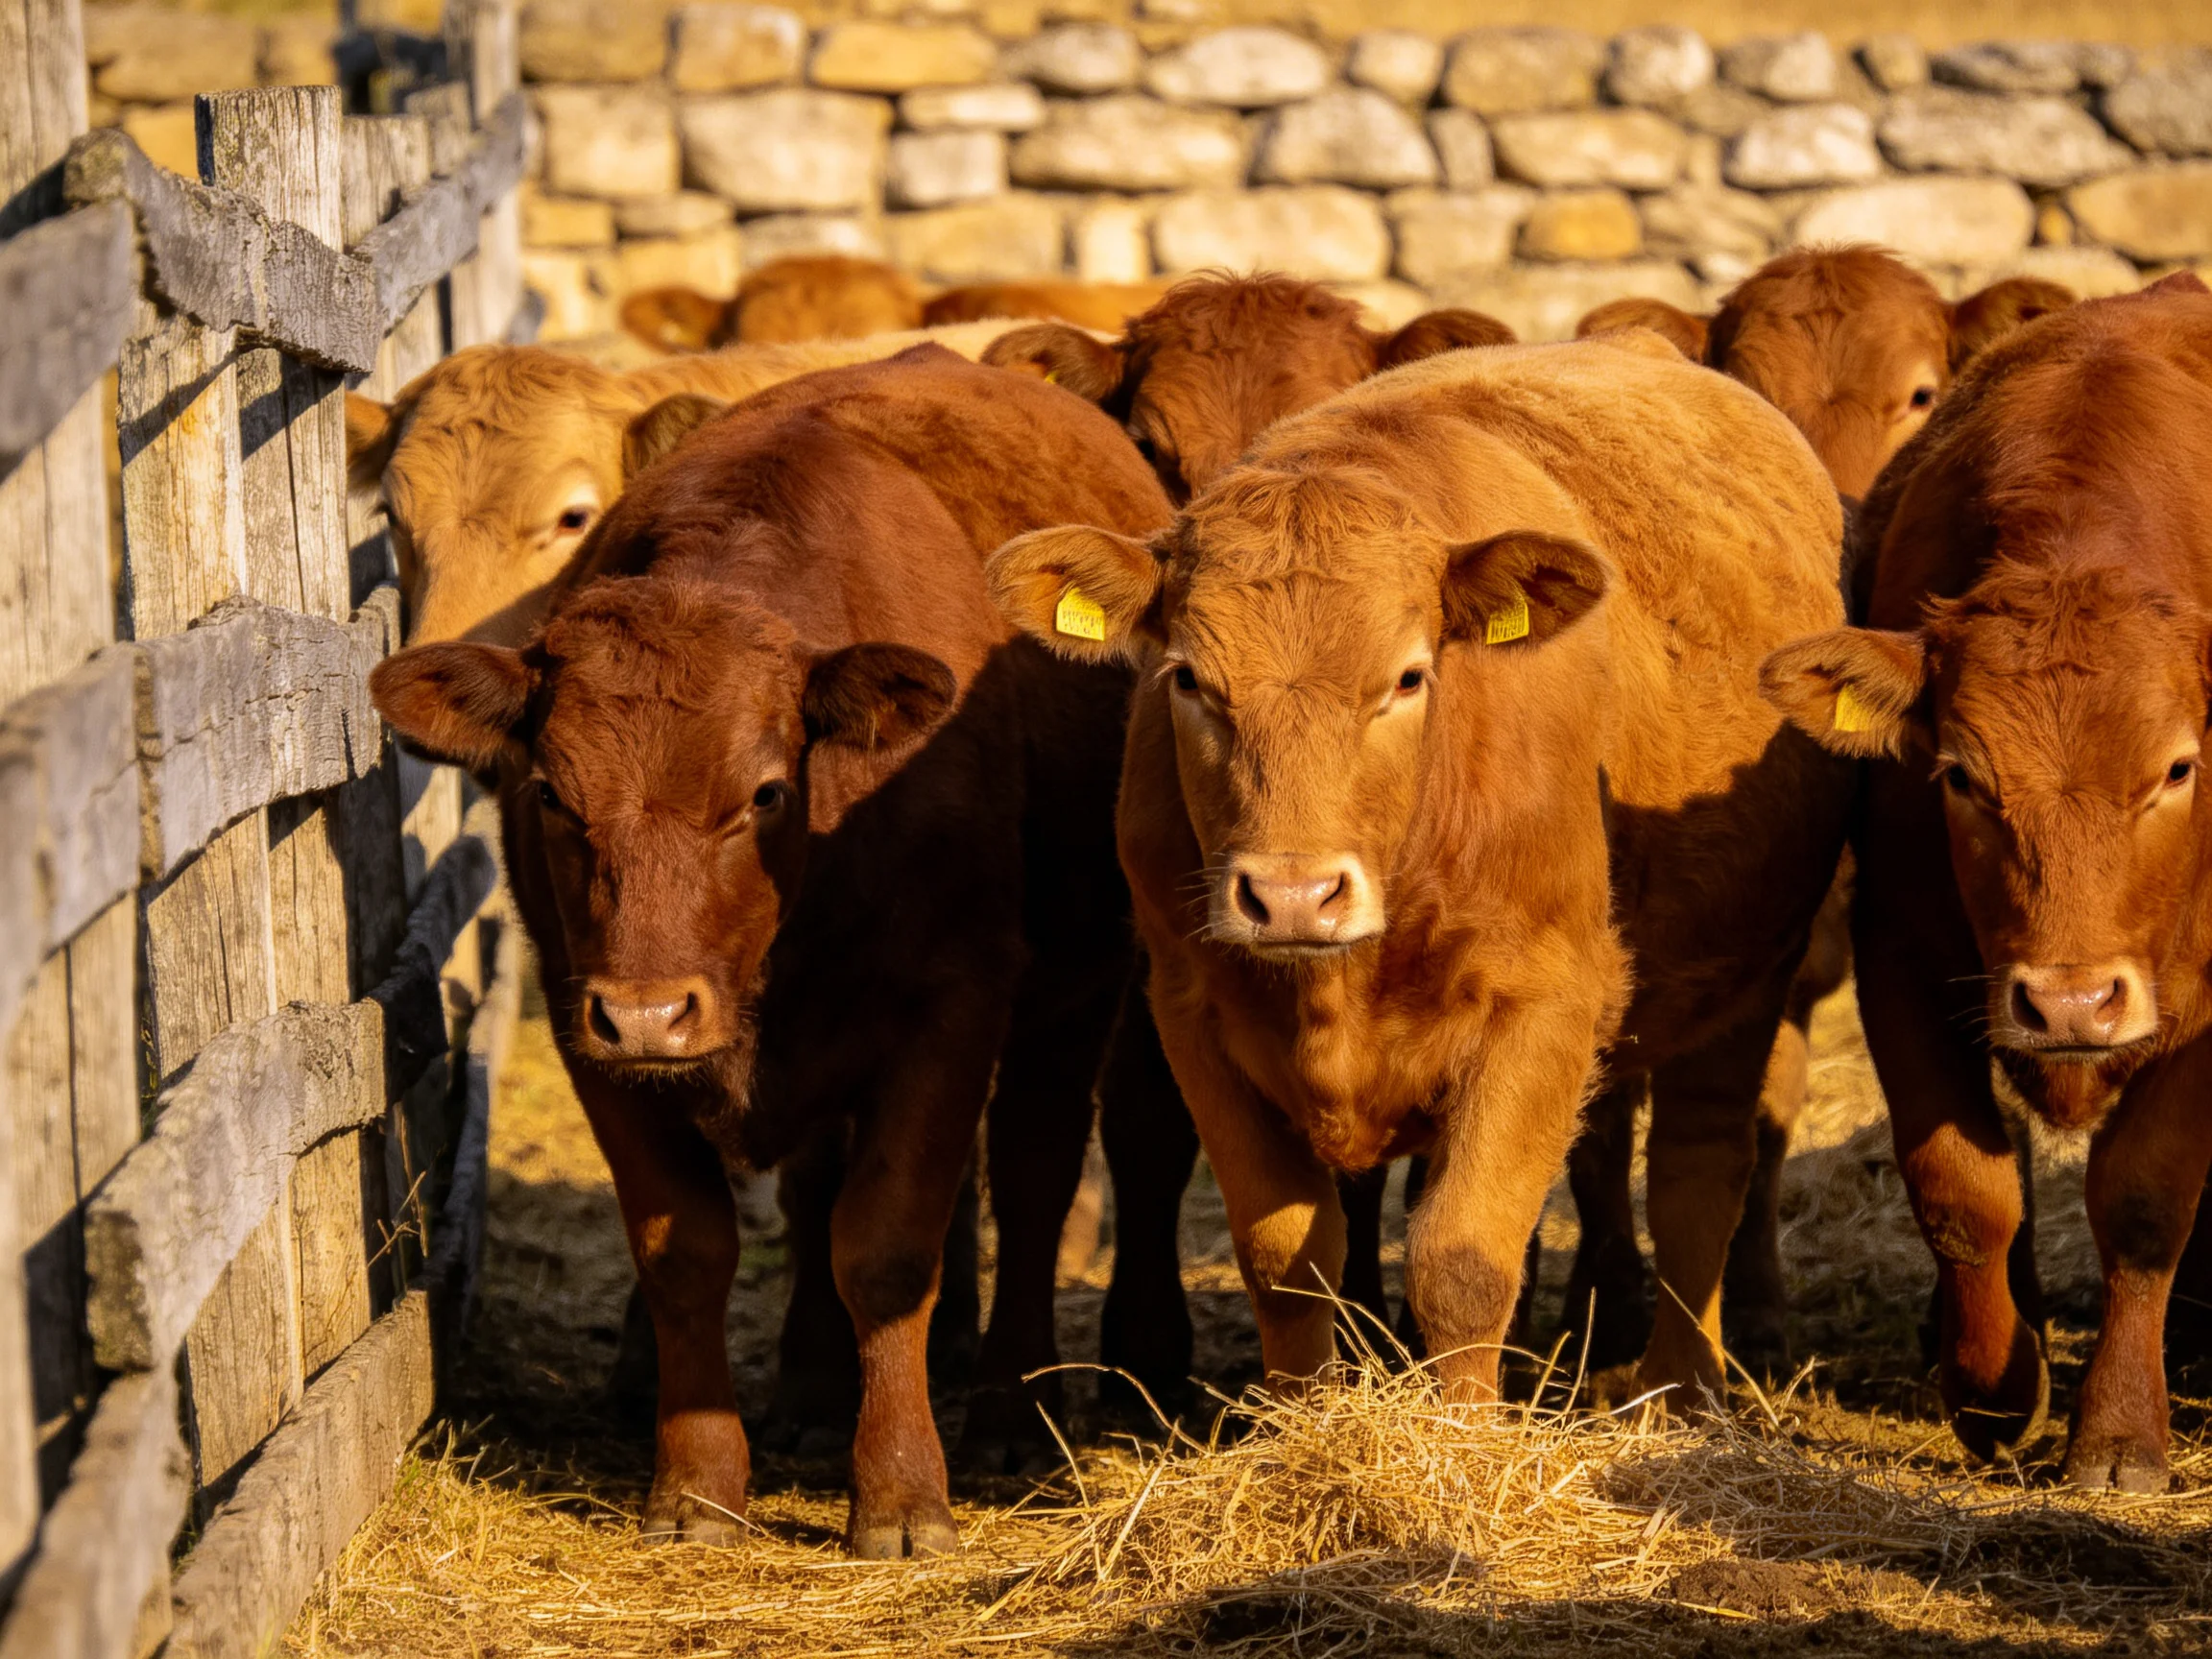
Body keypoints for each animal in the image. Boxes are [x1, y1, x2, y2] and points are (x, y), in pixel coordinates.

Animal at [370, 347, 1174, 1553]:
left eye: (763, 793)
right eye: (552, 794)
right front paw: (699, 1484)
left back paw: (1010, 1417)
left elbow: (887, 1247)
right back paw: (811, 1392)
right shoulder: (583, 1021)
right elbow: (689, 1248)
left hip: (1073, 989)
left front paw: (900, 1495)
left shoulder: (952, 1005)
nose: (651, 1012)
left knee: (1033, 1181)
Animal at [986, 332, 1854, 1411]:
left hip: (1747, 979)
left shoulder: (1547, 1004)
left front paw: (1465, 1441)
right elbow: (1287, 1256)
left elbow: (1464, 1261)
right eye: (1188, 679)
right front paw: (1303, 1424)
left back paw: (1681, 1390)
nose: (1292, 896)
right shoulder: (1192, 1008)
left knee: (1700, 1174)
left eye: (1406, 677)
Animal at [1760, 272, 2212, 1490]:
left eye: (2177, 769)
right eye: (1961, 775)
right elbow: (1966, 1189)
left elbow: (2144, 1200)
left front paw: (2120, 1432)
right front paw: (1997, 1391)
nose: (2069, 1002)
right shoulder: (1902, 954)